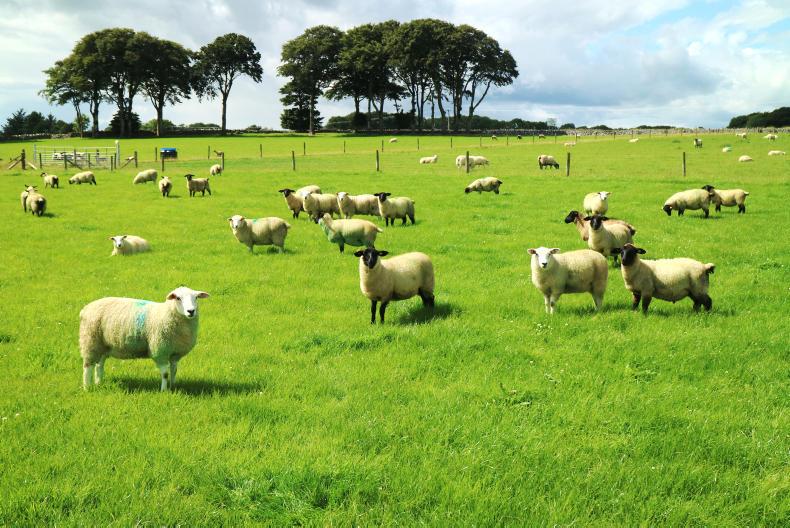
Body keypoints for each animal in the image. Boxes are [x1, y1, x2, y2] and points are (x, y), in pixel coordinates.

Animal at [79, 286, 209, 391]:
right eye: (178, 298)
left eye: (196, 297)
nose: (191, 311)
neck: (166, 313)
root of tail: (86, 308)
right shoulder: (160, 351)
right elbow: (165, 373)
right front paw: (164, 391)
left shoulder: (175, 353)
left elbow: (174, 371)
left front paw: (173, 387)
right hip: (90, 340)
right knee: (87, 367)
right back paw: (87, 388)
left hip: (103, 345)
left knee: (99, 365)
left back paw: (98, 383)